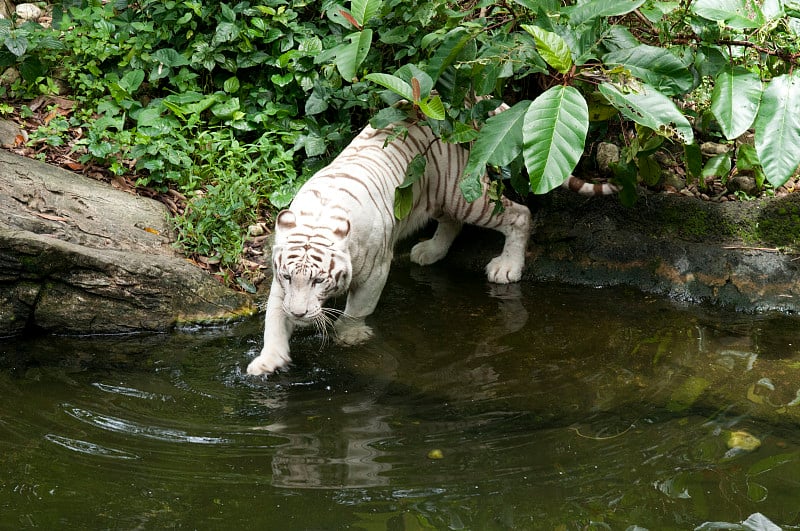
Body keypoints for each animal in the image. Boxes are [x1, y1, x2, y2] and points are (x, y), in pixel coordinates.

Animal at [247, 117, 616, 374]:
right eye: (288, 277)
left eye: (319, 280)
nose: (300, 314)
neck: (319, 218)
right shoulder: (281, 286)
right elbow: (273, 321)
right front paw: (268, 361)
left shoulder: (376, 270)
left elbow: (358, 309)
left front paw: (350, 336)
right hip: (435, 195)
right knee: (451, 222)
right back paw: (429, 252)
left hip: (464, 194)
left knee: (518, 214)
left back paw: (506, 266)